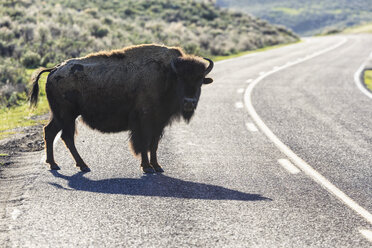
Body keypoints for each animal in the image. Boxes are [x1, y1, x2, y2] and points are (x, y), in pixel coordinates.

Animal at [29, 44, 214, 172]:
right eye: (181, 80)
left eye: (199, 81)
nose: (189, 102)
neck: (167, 74)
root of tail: (54, 70)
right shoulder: (144, 121)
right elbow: (144, 143)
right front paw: (147, 167)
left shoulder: (159, 123)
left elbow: (154, 144)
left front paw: (157, 166)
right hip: (67, 115)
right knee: (66, 137)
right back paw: (83, 166)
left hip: (59, 115)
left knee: (50, 132)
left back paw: (54, 164)